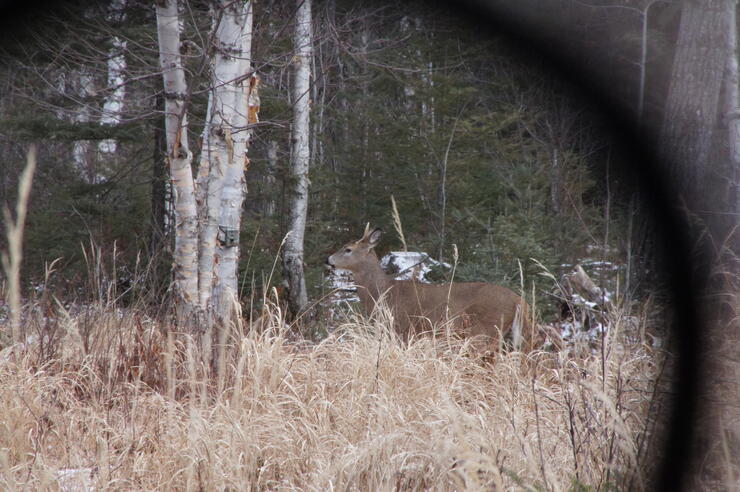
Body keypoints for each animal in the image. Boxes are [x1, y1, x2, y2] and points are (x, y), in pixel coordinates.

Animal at [324, 225, 536, 352]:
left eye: (348, 249)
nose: (328, 260)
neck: (383, 292)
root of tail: (520, 301)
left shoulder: (403, 329)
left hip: (485, 330)